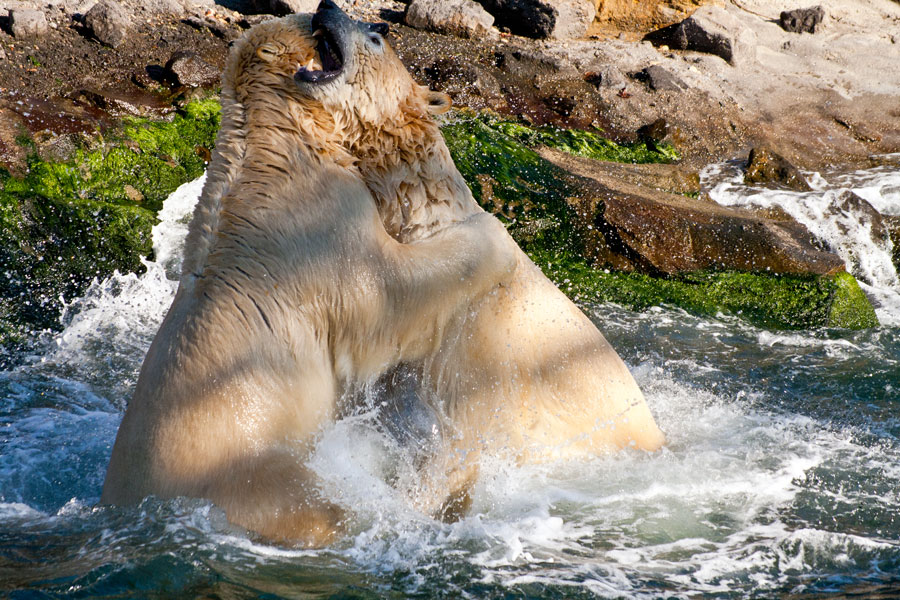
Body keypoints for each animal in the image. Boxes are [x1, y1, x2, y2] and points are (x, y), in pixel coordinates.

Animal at [99, 11, 516, 548]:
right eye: (316, 26)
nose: (328, 7)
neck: (274, 147)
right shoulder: (323, 229)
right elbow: (390, 293)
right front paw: (493, 236)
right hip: (255, 475)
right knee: (324, 511)